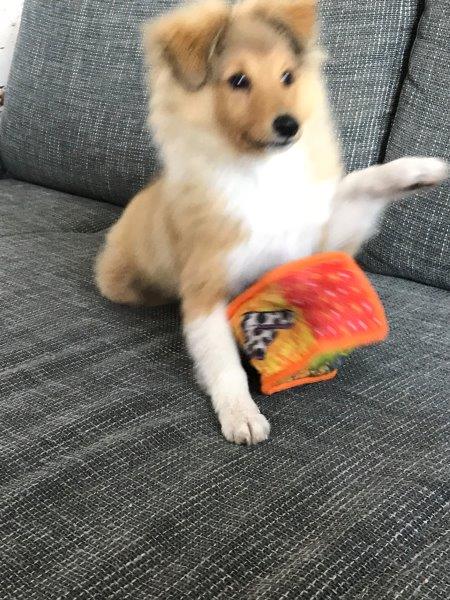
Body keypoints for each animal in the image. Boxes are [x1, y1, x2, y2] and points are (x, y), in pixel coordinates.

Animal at [95, 0, 448, 444]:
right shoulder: (206, 287)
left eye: (287, 77)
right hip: (124, 282)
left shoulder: (314, 243)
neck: (262, 172)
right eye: (238, 80)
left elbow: (361, 183)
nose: (289, 125)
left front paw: (420, 170)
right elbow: (223, 361)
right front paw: (240, 414)